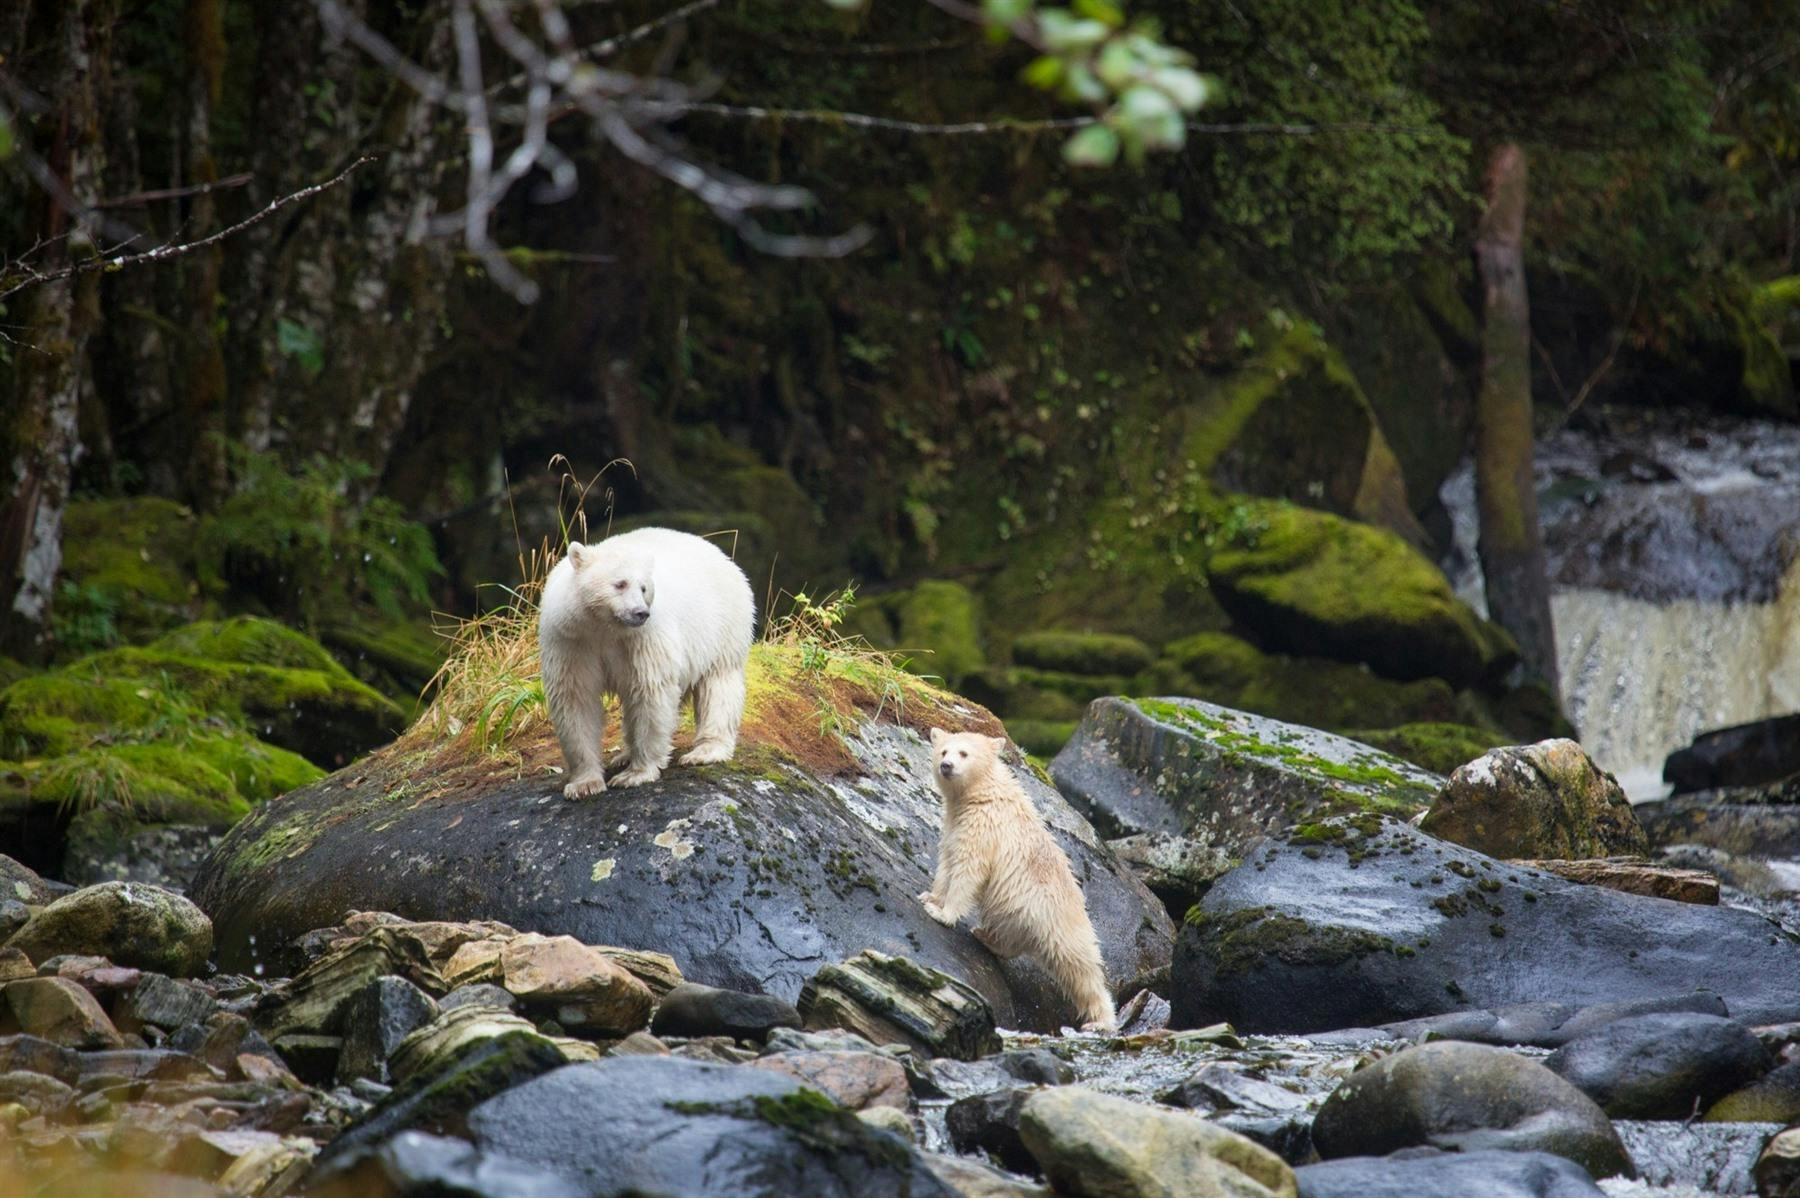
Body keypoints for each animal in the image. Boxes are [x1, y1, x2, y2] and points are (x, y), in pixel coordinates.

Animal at [538, 527, 755, 797]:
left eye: (643, 588)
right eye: (620, 583)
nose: (640, 612)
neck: (603, 627)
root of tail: (722, 556)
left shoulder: (642, 639)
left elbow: (650, 691)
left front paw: (634, 774)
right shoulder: (571, 640)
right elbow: (575, 698)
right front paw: (584, 784)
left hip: (721, 625)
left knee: (718, 685)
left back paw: (705, 751)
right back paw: (623, 755)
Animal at [918, 727, 1116, 1031]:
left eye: (964, 753)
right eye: (943, 751)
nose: (946, 766)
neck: (984, 793)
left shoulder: (983, 827)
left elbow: (968, 870)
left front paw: (941, 913)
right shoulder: (956, 823)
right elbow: (947, 860)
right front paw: (930, 896)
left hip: (1059, 919)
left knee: (1081, 968)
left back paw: (1100, 1021)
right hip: (1016, 912)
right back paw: (985, 936)